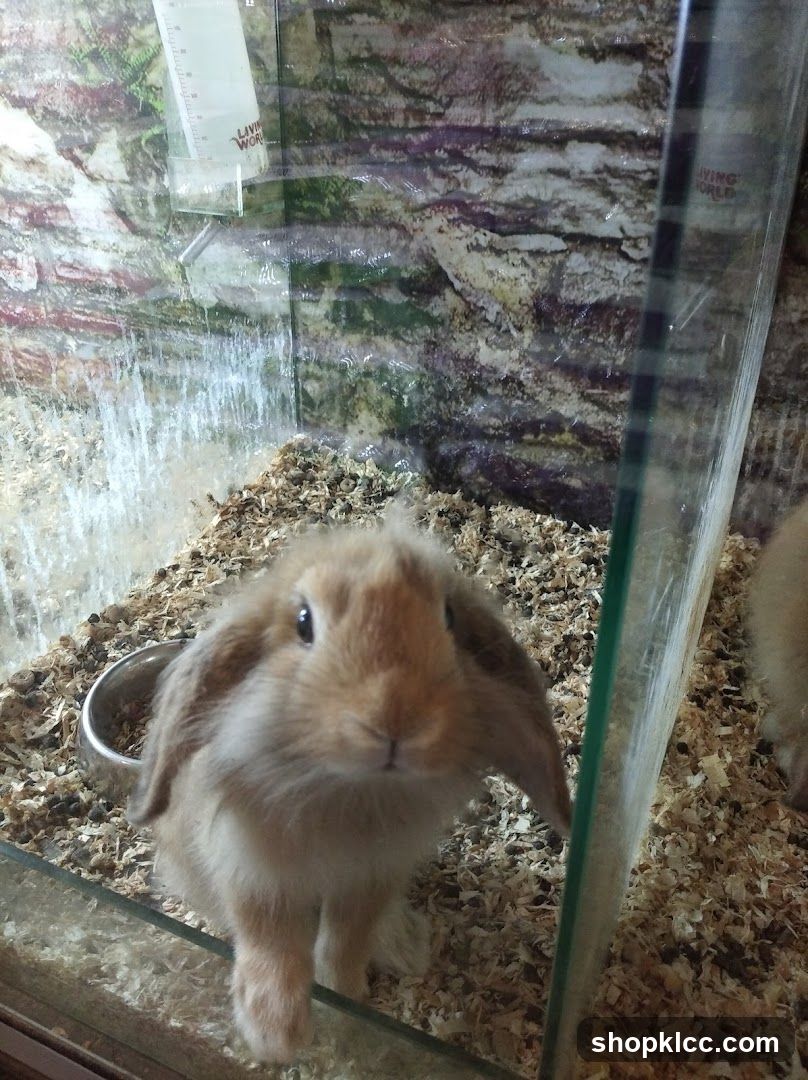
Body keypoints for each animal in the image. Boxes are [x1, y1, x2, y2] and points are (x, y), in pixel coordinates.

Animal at [128, 515, 572, 1063]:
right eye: (303, 622)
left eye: (448, 617)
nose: (396, 719)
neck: (346, 788)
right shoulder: (252, 869)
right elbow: (269, 941)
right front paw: (276, 1035)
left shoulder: (372, 875)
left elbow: (343, 943)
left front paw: (345, 1006)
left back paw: (406, 945)